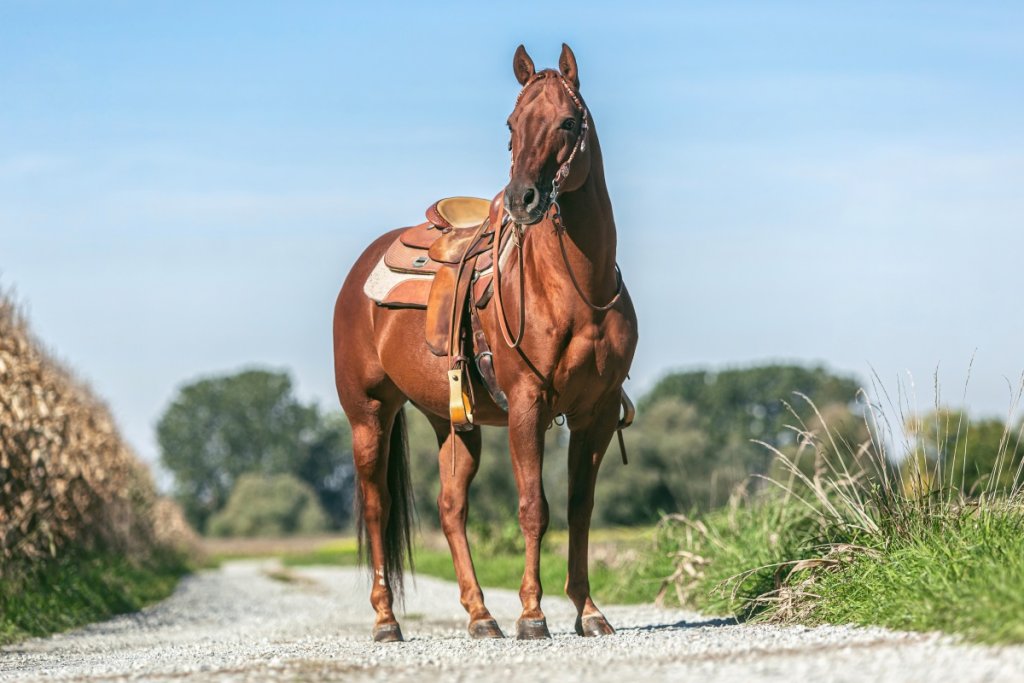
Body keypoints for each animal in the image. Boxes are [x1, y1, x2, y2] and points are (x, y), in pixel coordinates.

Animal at [332, 43, 638, 642]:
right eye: (512, 125)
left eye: (568, 122)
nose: (523, 199)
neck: (577, 290)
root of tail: (360, 271)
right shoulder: (527, 405)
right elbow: (533, 507)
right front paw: (533, 614)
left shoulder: (595, 412)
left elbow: (580, 508)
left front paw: (588, 611)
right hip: (369, 415)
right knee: (377, 506)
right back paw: (386, 621)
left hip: (451, 422)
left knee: (451, 507)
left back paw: (480, 616)